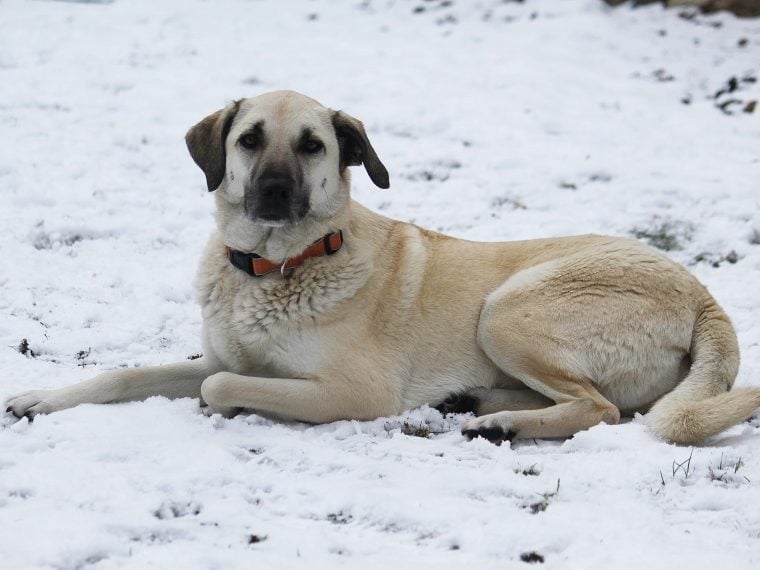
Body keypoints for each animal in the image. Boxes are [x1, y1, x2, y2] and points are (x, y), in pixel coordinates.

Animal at [5, 90, 760, 444]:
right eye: (250, 139)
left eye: (313, 145)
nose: (272, 192)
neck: (275, 267)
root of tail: (705, 298)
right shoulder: (221, 351)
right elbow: (127, 374)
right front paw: (40, 398)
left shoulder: (352, 391)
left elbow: (219, 386)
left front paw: (229, 403)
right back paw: (478, 405)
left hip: (508, 308)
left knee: (601, 407)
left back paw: (500, 425)